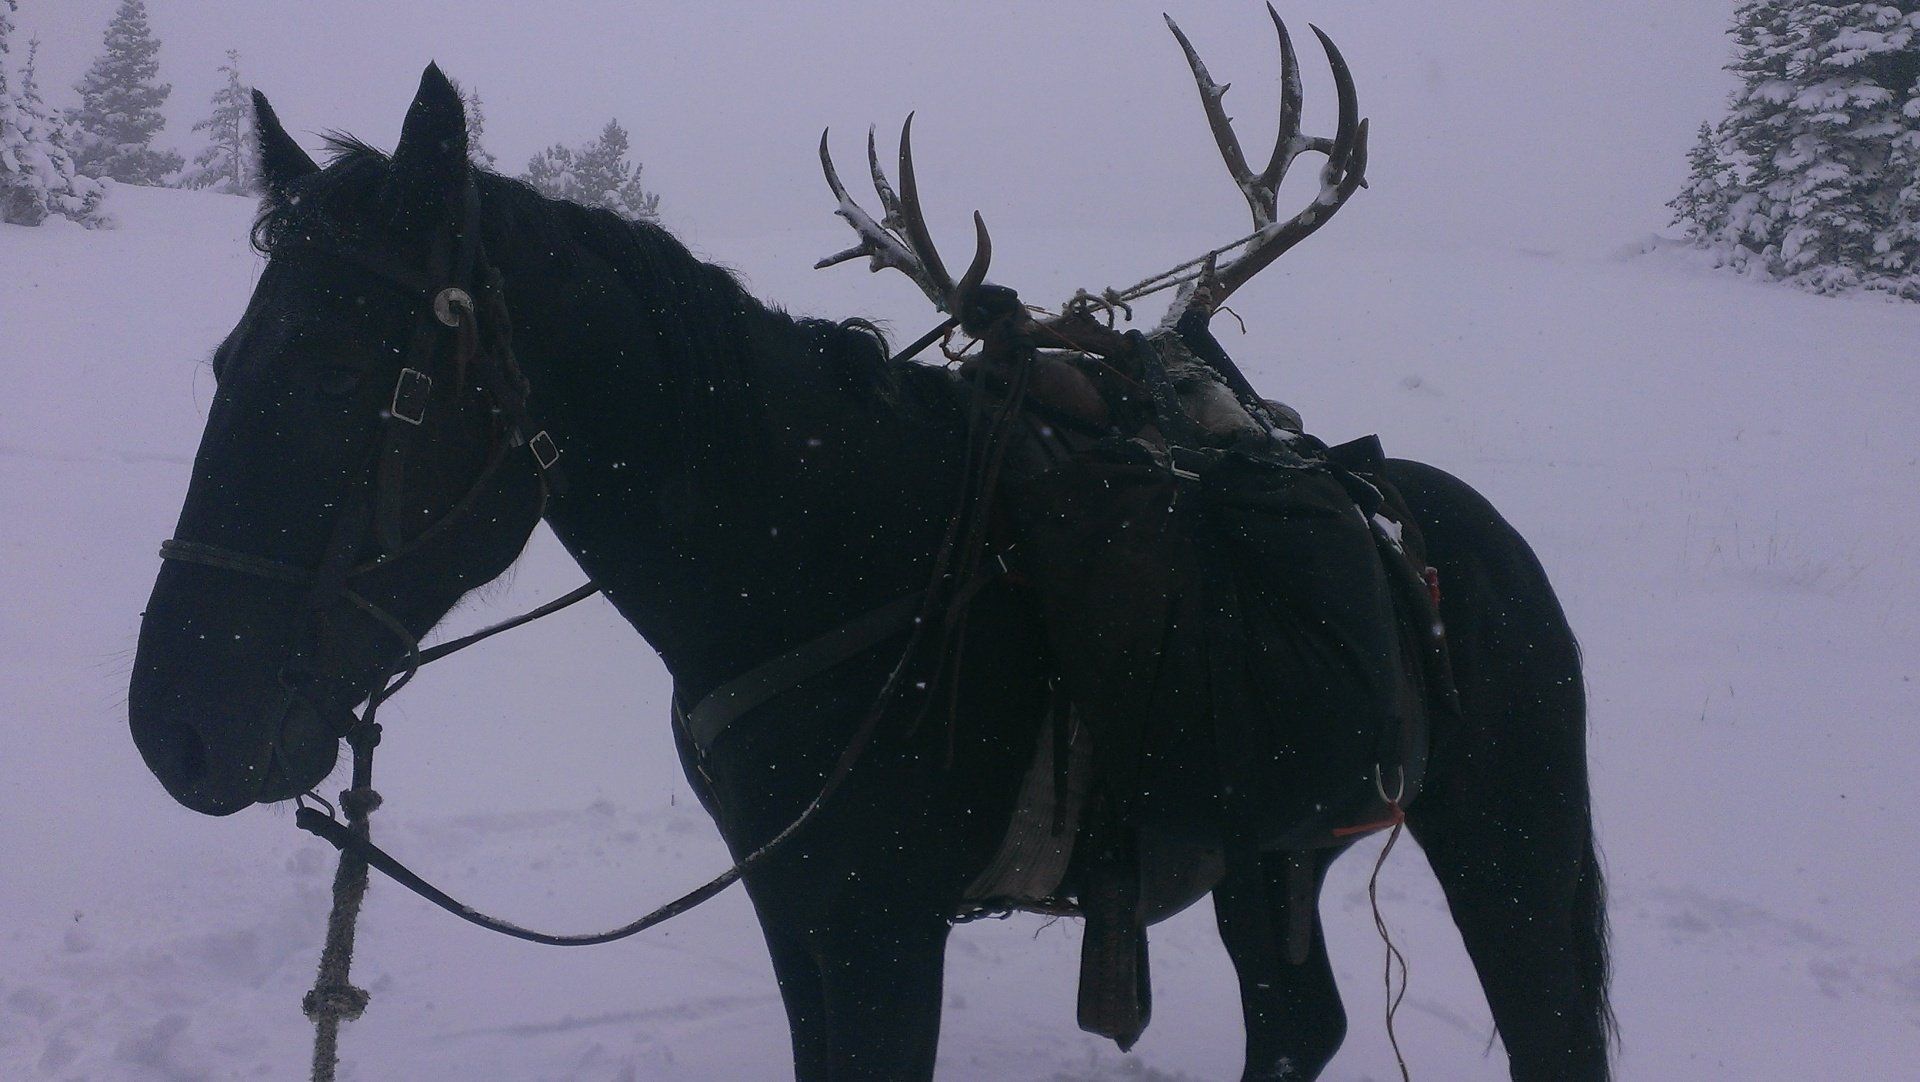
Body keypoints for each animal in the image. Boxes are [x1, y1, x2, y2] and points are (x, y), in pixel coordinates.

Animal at [127, 47, 1610, 1082]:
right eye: (226, 357)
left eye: (348, 374)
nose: (173, 734)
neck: (823, 568)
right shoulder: (795, 906)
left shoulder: (882, 919)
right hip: (1273, 850)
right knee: (1300, 1021)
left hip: (1511, 834)